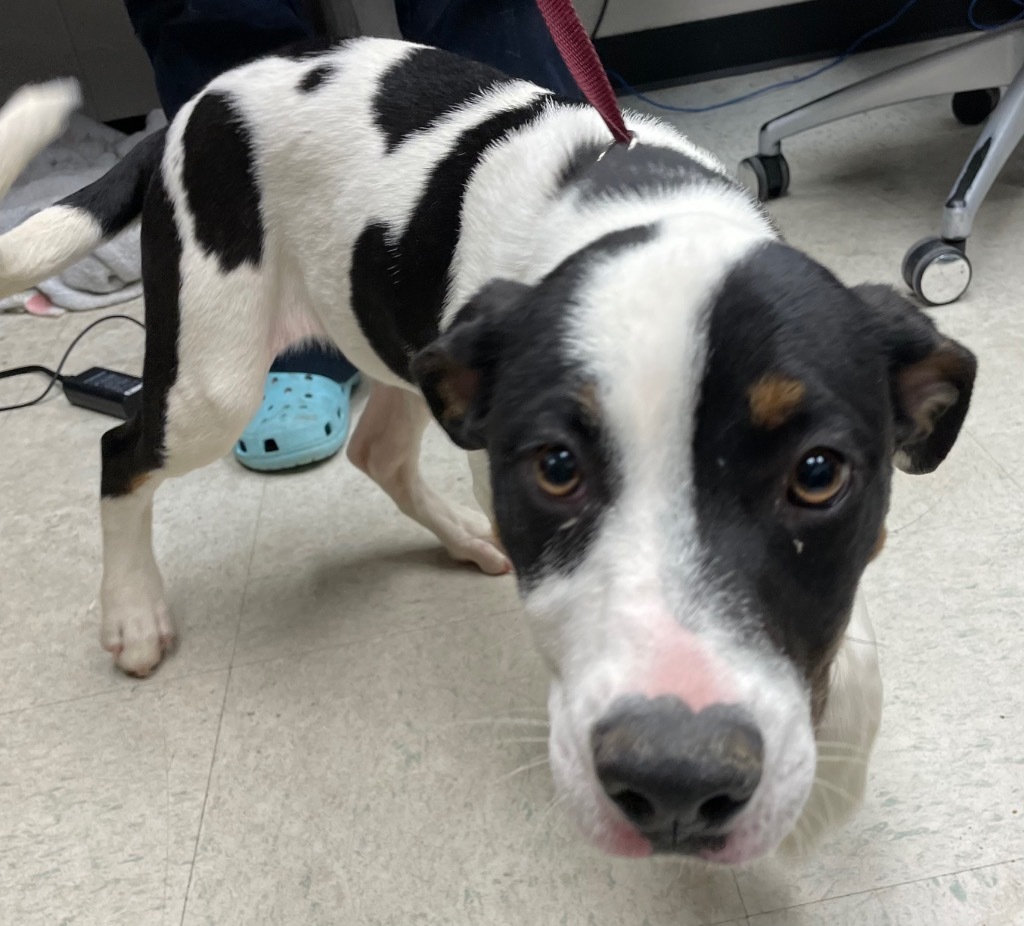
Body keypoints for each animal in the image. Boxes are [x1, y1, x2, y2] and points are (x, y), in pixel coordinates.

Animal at [0, 36, 974, 860]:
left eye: (818, 474)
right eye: (556, 468)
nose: (676, 783)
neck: (648, 204)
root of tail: (198, 102)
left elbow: (844, 635)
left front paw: (830, 771)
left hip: (397, 346)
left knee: (378, 453)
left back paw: (467, 538)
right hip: (215, 375)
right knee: (121, 451)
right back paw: (133, 613)